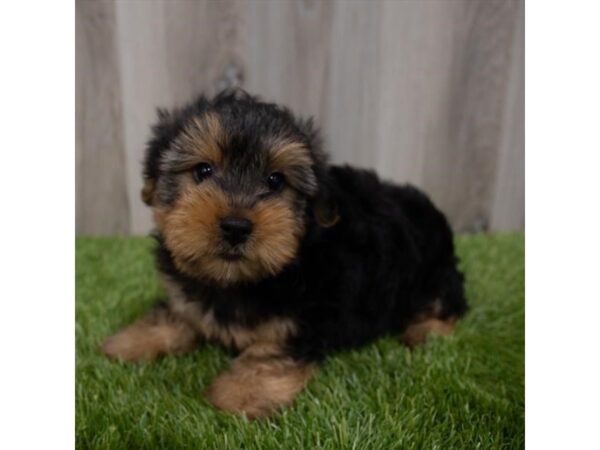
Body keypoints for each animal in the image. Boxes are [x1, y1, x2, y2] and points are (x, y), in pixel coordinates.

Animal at [103, 90, 468, 418]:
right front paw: (130, 342)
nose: (236, 226)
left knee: (448, 305)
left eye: (275, 180)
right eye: (203, 171)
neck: (236, 282)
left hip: (435, 273)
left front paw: (240, 393)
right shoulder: (189, 292)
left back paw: (424, 332)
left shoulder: (305, 317)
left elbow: (270, 352)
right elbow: (176, 313)